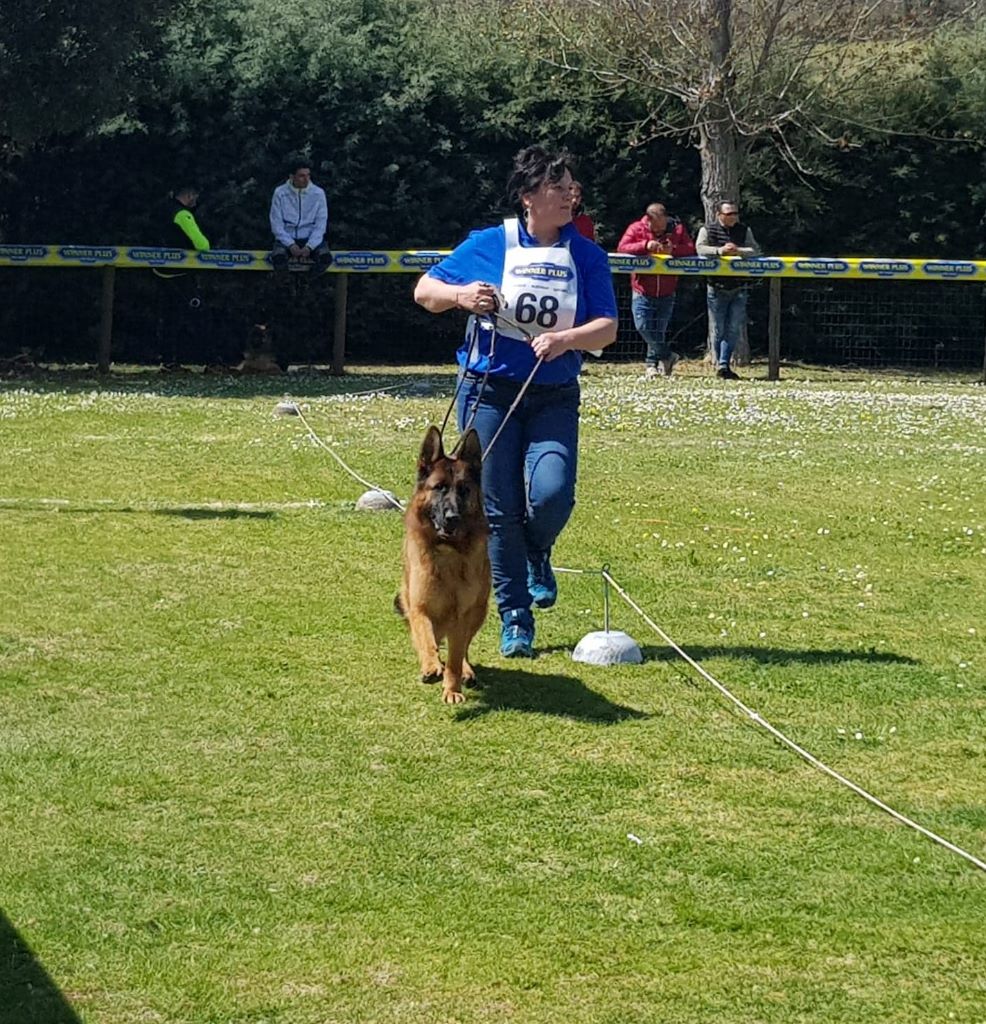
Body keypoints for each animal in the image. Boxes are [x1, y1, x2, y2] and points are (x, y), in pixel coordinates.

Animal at [397, 423, 493, 704]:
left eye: (463, 489)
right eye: (439, 487)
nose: (452, 517)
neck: (448, 552)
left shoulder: (461, 616)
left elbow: (455, 657)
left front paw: (452, 689)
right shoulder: (419, 608)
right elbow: (426, 640)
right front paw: (430, 666)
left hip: (479, 610)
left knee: (463, 649)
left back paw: (466, 670)